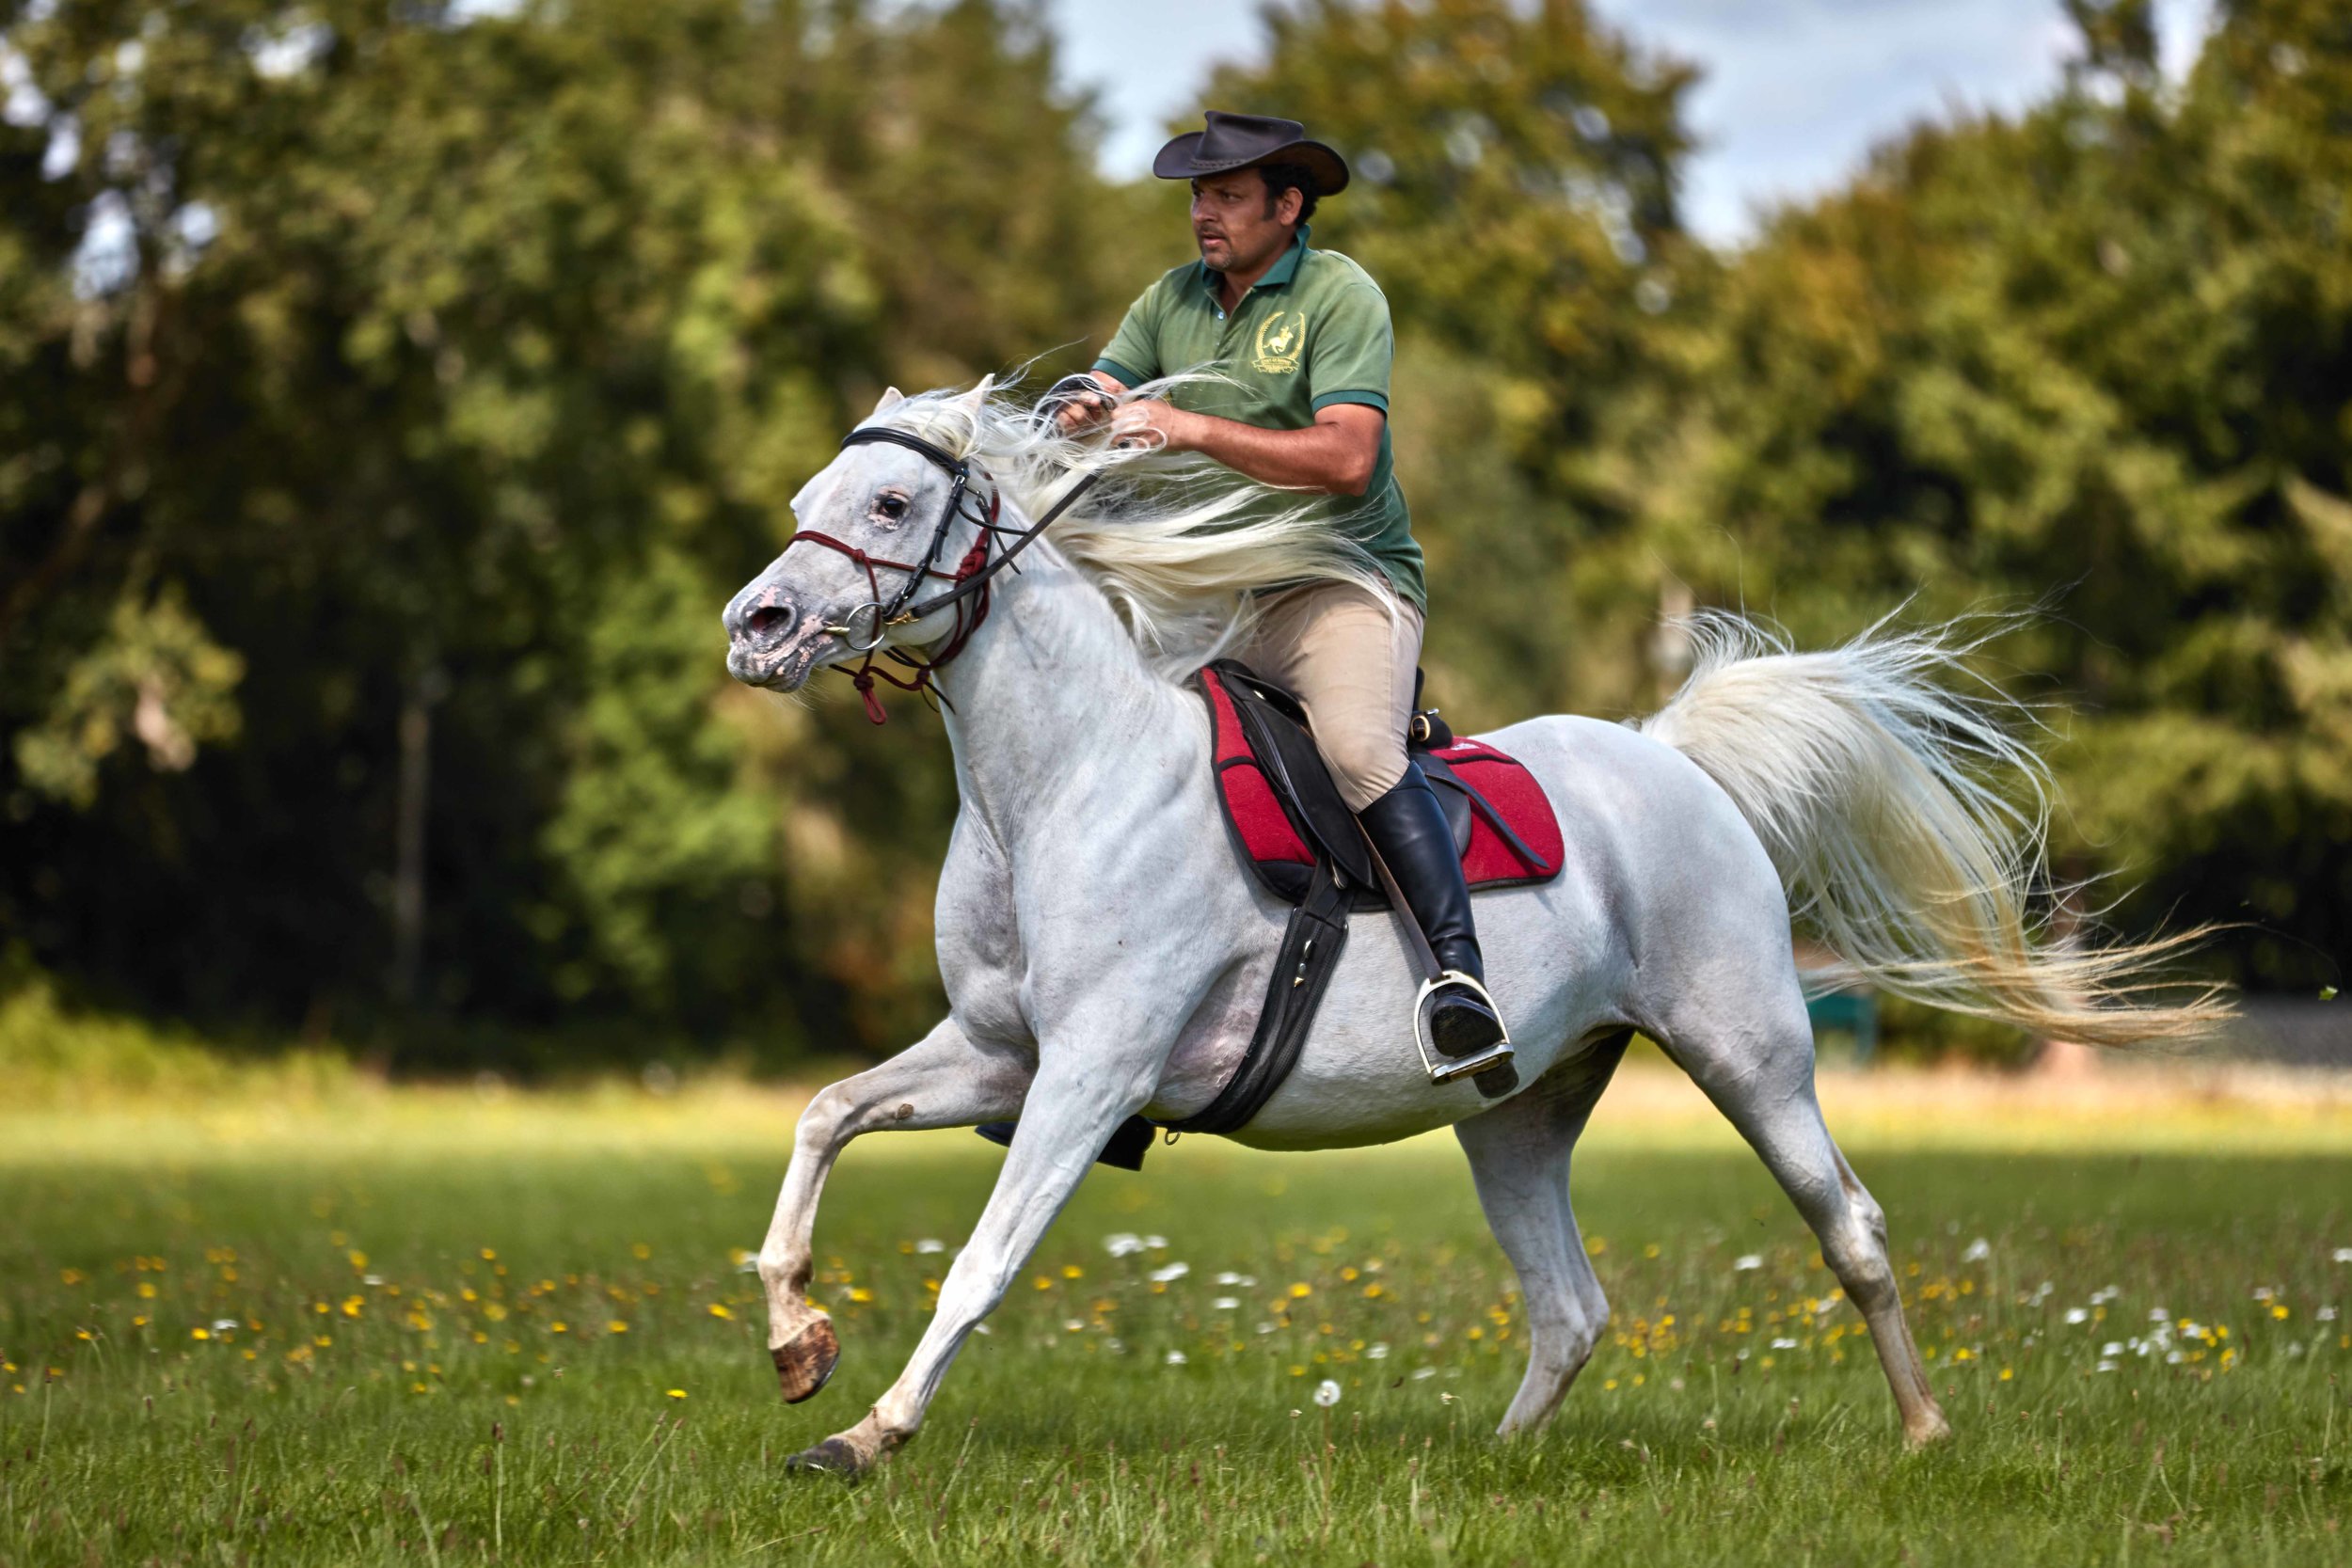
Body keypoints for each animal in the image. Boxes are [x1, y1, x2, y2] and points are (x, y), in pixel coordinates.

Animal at [720, 375, 2220, 1476]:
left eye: (893, 497)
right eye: (803, 499)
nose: (758, 623)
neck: (1062, 779)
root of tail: (1671, 757)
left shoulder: (1090, 1071)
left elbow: (981, 1260)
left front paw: (864, 1433)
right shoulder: (997, 1054)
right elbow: (825, 1114)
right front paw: (798, 1338)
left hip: (1752, 1055)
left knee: (1847, 1225)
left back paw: (1923, 1430)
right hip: (1517, 1109)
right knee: (1571, 1306)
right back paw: (1495, 1462)